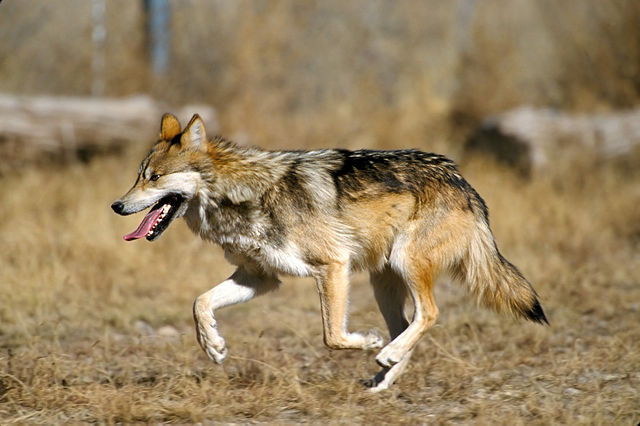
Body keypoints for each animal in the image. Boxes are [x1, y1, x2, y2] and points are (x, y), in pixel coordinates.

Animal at [111, 113, 548, 392]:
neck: (242, 195)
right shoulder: (260, 278)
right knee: (407, 325)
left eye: (155, 178)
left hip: (404, 264)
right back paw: (383, 377)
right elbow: (200, 303)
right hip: (383, 282)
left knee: (429, 314)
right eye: (138, 176)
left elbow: (332, 336)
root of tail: (463, 182)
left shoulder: (332, 266)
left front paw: (367, 341)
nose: (116, 205)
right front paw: (214, 346)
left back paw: (384, 354)